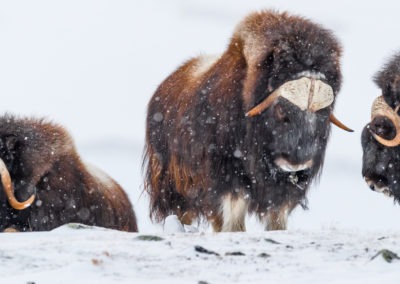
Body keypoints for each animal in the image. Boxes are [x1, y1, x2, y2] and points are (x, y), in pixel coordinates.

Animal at [143, 10, 350, 232]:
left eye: (324, 114)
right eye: (281, 111)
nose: (297, 163)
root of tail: (162, 88)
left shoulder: (282, 192)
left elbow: (277, 220)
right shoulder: (229, 178)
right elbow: (235, 219)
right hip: (174, 186)